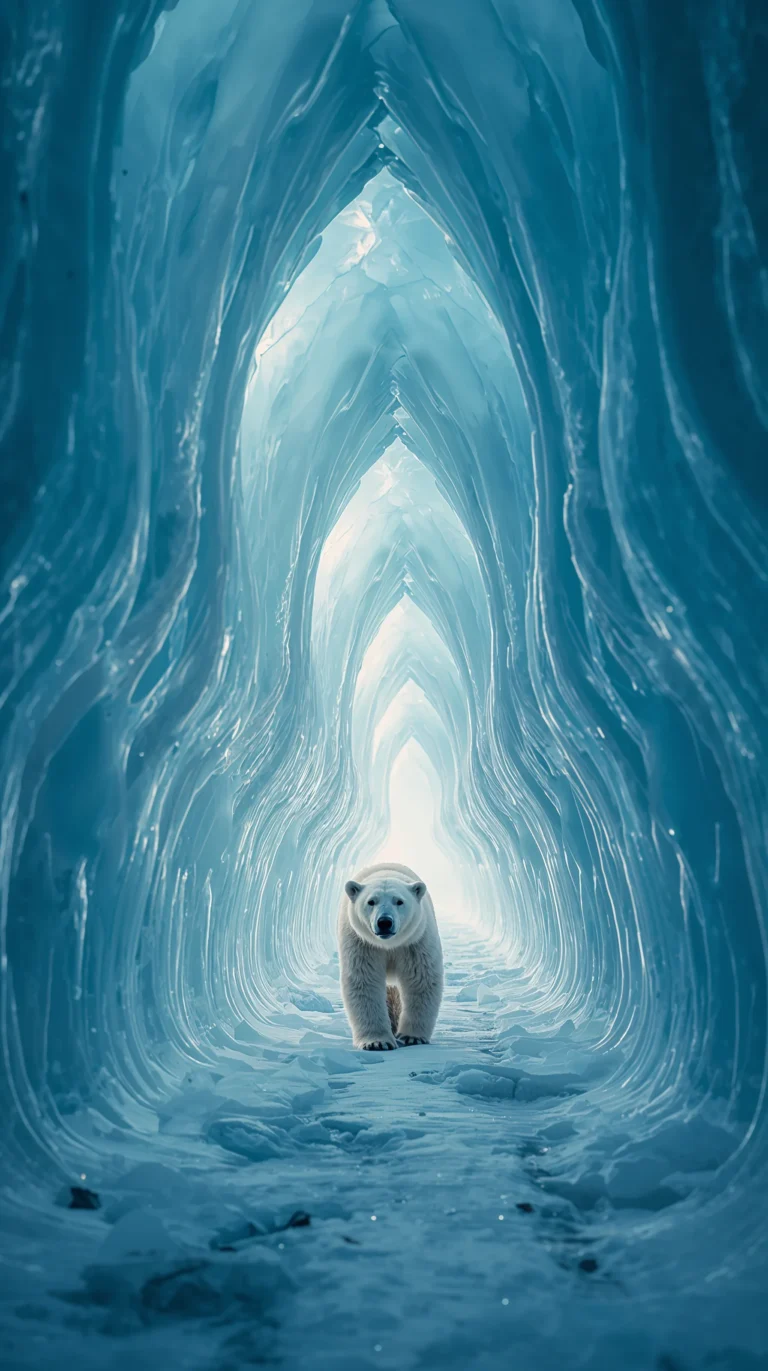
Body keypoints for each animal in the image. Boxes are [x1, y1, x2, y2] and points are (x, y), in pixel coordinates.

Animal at [338, 861, 444, 1051]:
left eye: (399, 901)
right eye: (371, 901)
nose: (385, 922)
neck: (389, 944)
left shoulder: (414, 942)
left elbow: (420, 978)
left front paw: (412, 1037)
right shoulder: (363, 944)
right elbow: (365, 980)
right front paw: (376, 1042)